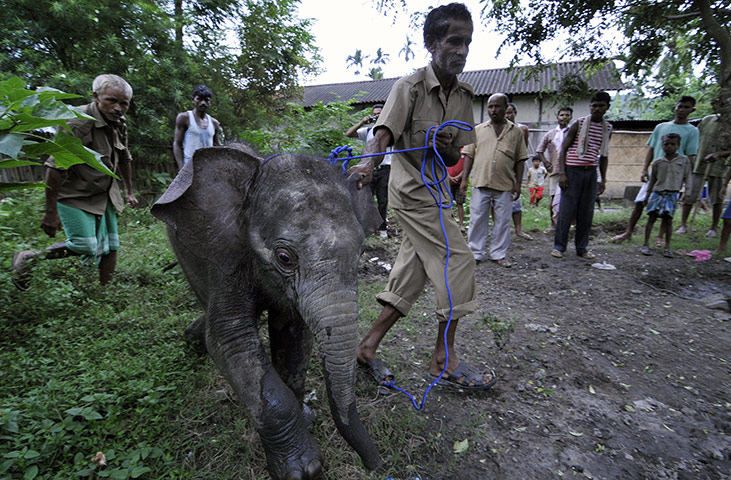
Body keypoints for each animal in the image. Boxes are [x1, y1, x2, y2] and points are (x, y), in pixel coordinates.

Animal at [151, 145, 384, 479]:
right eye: (284, 257)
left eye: (362, 252)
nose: (376, 465)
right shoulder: (227, 257)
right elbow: (230, 342)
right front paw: (304, 469)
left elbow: (294, 338)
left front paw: (307, 420)